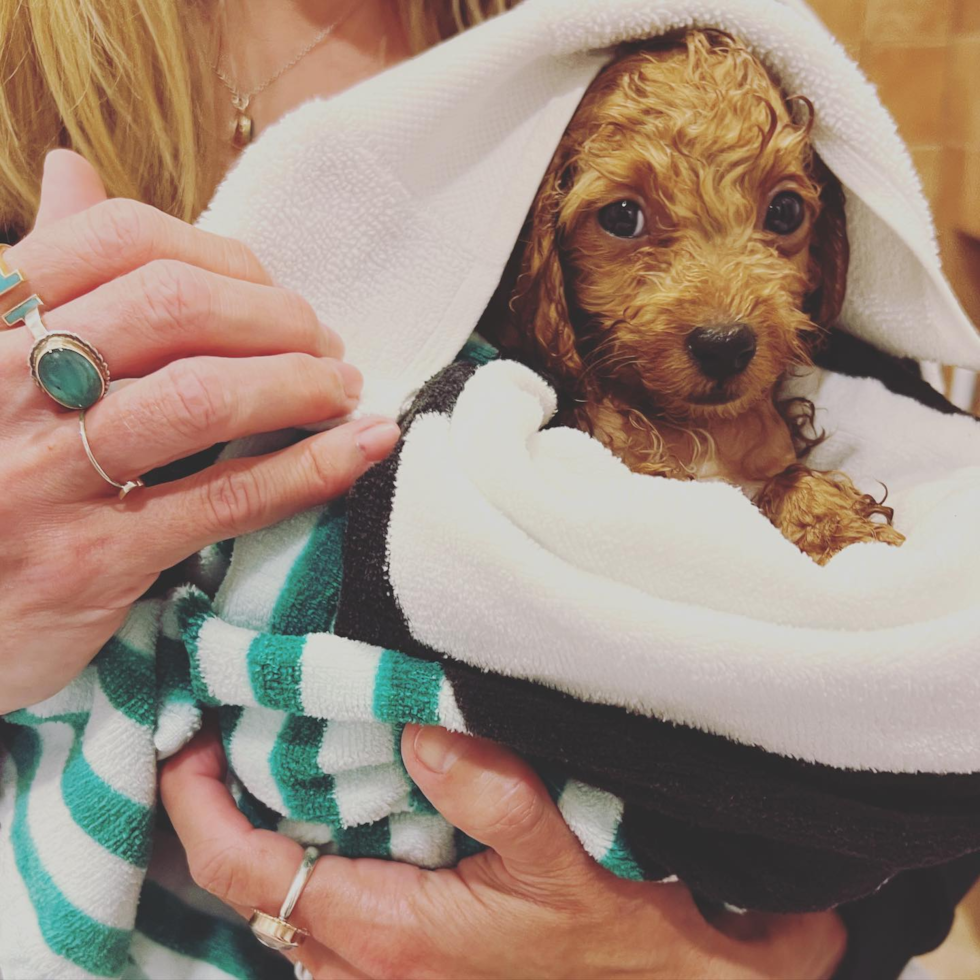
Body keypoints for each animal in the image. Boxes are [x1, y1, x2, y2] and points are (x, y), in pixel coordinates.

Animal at [486, 28, 908, 568]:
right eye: (622, 216)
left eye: (786, 210)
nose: (725, 345)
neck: (701, 432)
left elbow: (789, 478)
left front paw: (838, 529)